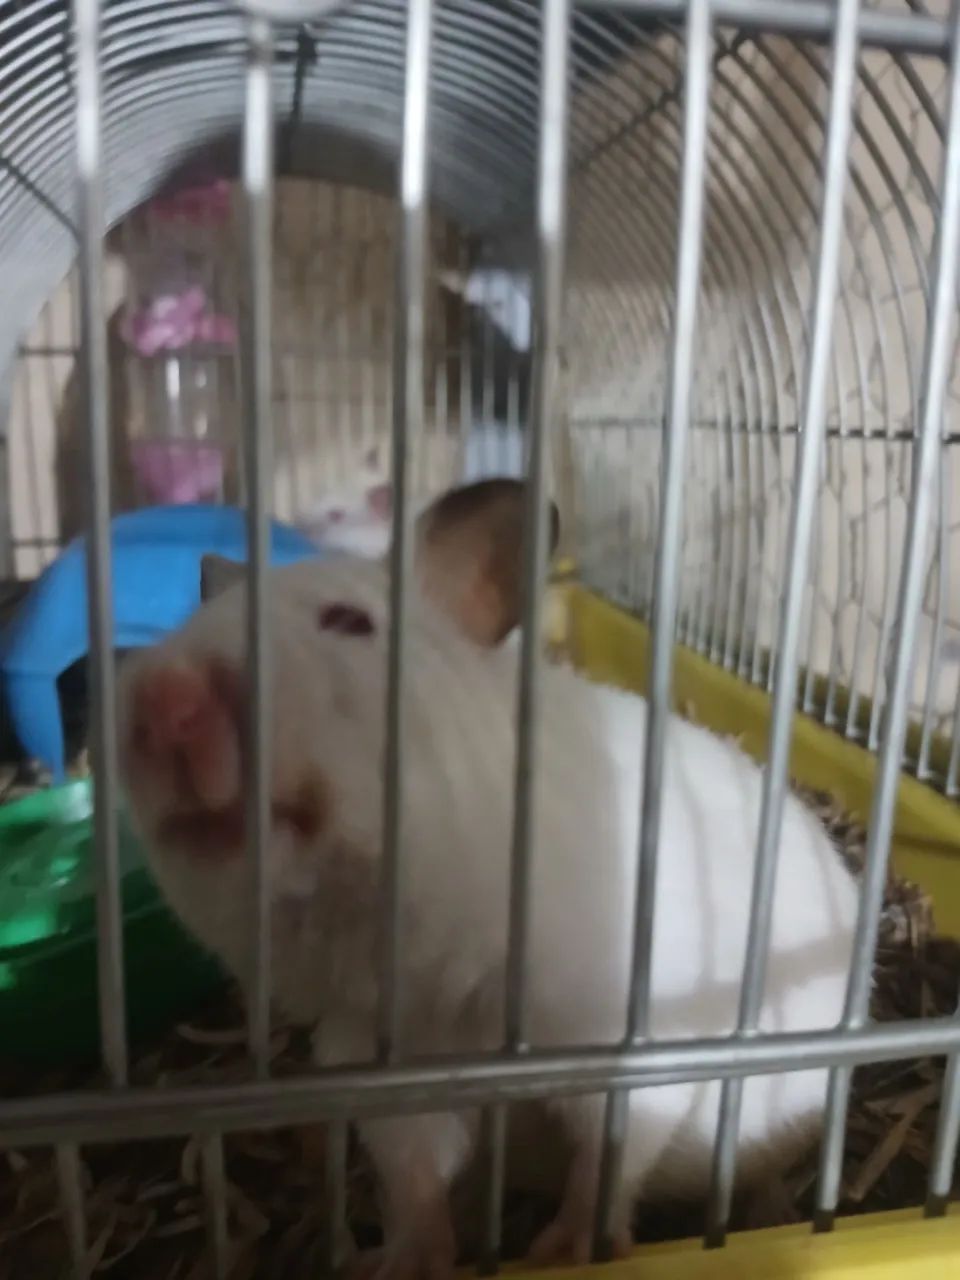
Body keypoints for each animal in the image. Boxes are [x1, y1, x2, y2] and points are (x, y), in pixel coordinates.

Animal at [117, 479, 858, 1280]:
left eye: (350, 622)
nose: (155, 697)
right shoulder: (379, 1062)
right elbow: (414, 1179)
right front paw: (408, 1263)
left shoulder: (631, 1042)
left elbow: (608, 1155)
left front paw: (567, 1253)